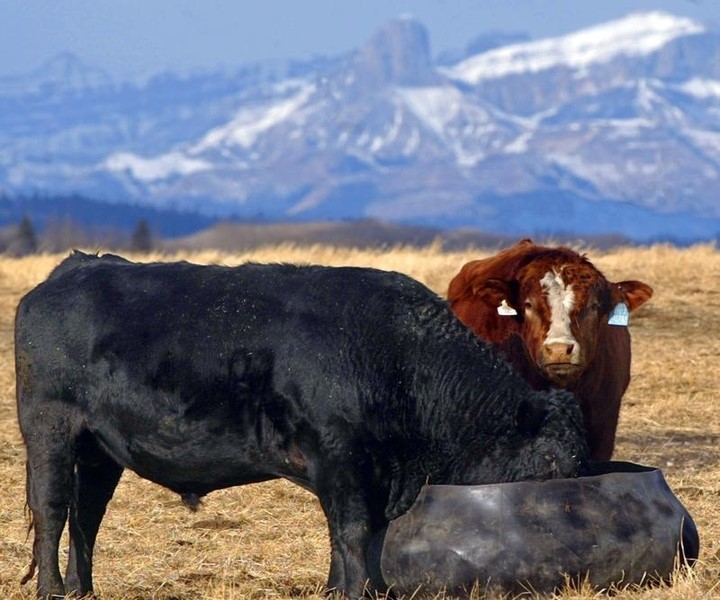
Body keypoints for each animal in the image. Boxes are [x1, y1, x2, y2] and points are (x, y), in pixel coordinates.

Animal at [16, 251, 588, 596]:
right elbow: (352, 532)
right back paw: (52, 590)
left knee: (86, 516)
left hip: (98, 450)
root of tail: (77, 267)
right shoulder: (343, 459)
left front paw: (349, 589)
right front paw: (357, 591)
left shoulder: (367, 473)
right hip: (49, 431)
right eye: (552, 460)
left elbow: (355, 534)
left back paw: (83, 590)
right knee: (53, 511)